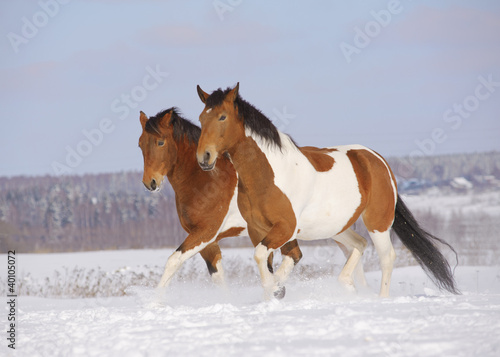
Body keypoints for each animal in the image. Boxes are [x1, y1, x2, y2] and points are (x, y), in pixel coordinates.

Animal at [196, 83, 460, 298]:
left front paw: (276, 289)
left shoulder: (284, 228)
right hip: (338, 227)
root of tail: (376, 159)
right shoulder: (257, 230)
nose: (204, 157)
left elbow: (263, 258)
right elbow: (266, 263)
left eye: (222, 117)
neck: (270, 175)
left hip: (378, 222)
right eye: (201, 119)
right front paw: (273, 293)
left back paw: (380, 299)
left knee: (387, 257)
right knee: (359, 244)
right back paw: (349, 286)